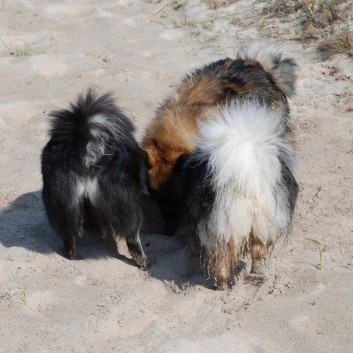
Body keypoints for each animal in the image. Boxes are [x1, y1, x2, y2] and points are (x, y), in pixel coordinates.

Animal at [42, 89, 148, 268]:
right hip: (127, 204)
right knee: (132, 235)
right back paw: (142, 262)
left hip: (63, 204)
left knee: (68, 234)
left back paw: (72, 255)